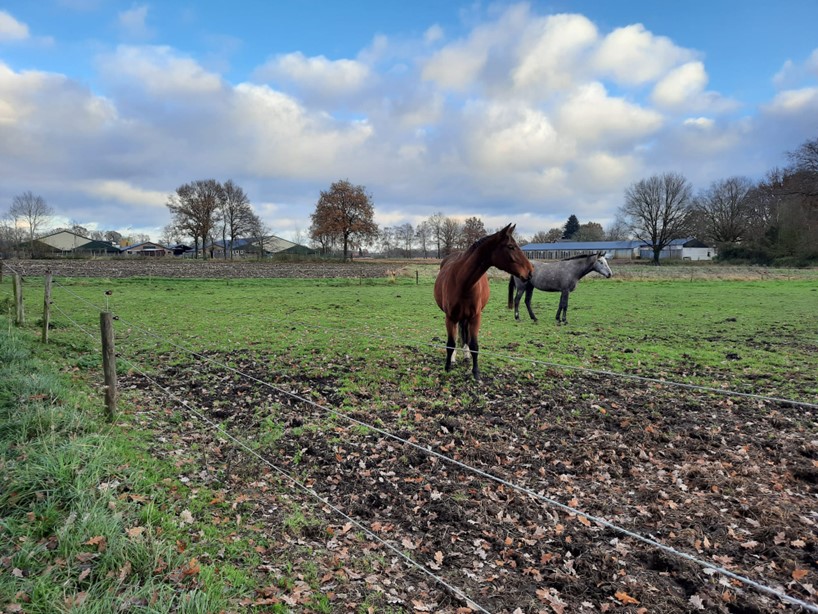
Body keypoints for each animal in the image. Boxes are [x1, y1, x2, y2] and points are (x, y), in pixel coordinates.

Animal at [430, 225, 532, 380]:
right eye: (511, 246)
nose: (530, 271)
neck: (463, 283)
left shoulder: (475, 317)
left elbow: (474, 345)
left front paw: (476, 372)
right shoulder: (450, 317)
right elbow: (451, 343)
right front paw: (447, 367)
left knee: (464, 334)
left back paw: (466, 356)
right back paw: (454, 359)